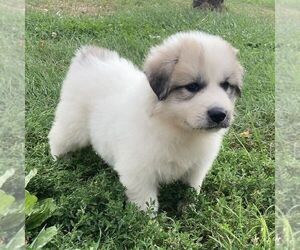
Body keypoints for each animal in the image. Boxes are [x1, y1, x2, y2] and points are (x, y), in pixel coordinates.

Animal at [47, 30, 244, 212]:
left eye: (226, 85)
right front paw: (149, 223)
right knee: (57, 137)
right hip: (73, 125)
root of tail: (88, 54)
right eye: (192, 86)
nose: (219, 114)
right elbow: (146, 202)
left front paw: (189, 208)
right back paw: (57, 162)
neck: (177, 127)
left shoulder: (196, 168)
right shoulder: (139, 172)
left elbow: (191, 189)